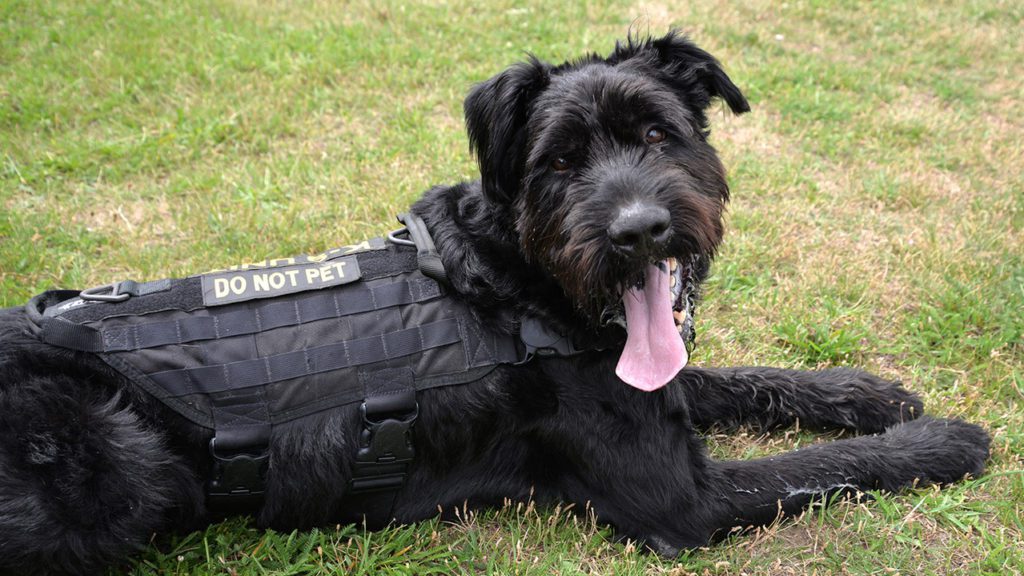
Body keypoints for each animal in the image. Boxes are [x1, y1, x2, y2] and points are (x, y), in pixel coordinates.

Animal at [2, 32, 991, 573]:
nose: (638, 232)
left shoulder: (646, 380)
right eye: (560, 161)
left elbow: (741, 377)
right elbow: (825, 468)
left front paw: (865, 392)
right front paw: (943, 440)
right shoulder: (681, 498)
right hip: (114, 458)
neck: (522, 282)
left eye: (656, 133)